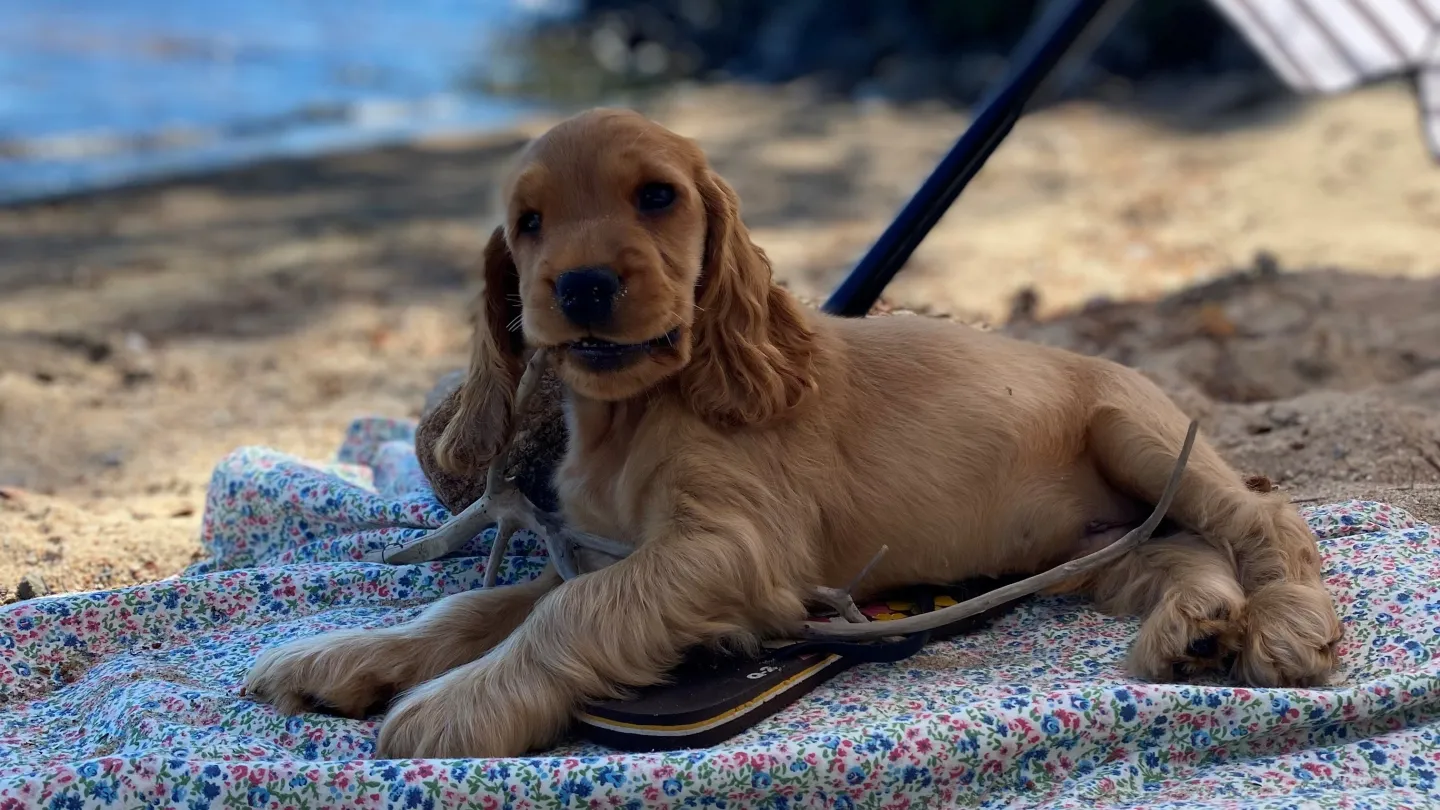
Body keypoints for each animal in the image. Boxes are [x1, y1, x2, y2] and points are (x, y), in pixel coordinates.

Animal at [244, 107, 1336, 755]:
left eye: (657, 196)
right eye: (529, 223)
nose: (581, 285)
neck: (639, 409)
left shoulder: (727, 550)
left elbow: (567, 615)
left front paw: (456, 705)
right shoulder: (612, 551)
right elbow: (477, 607)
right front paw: (348, 658)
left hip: (1135, 435)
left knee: (1262, 522)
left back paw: (1283, 627)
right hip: (1093, 548)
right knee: (1186, 553)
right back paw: (1194, 629)